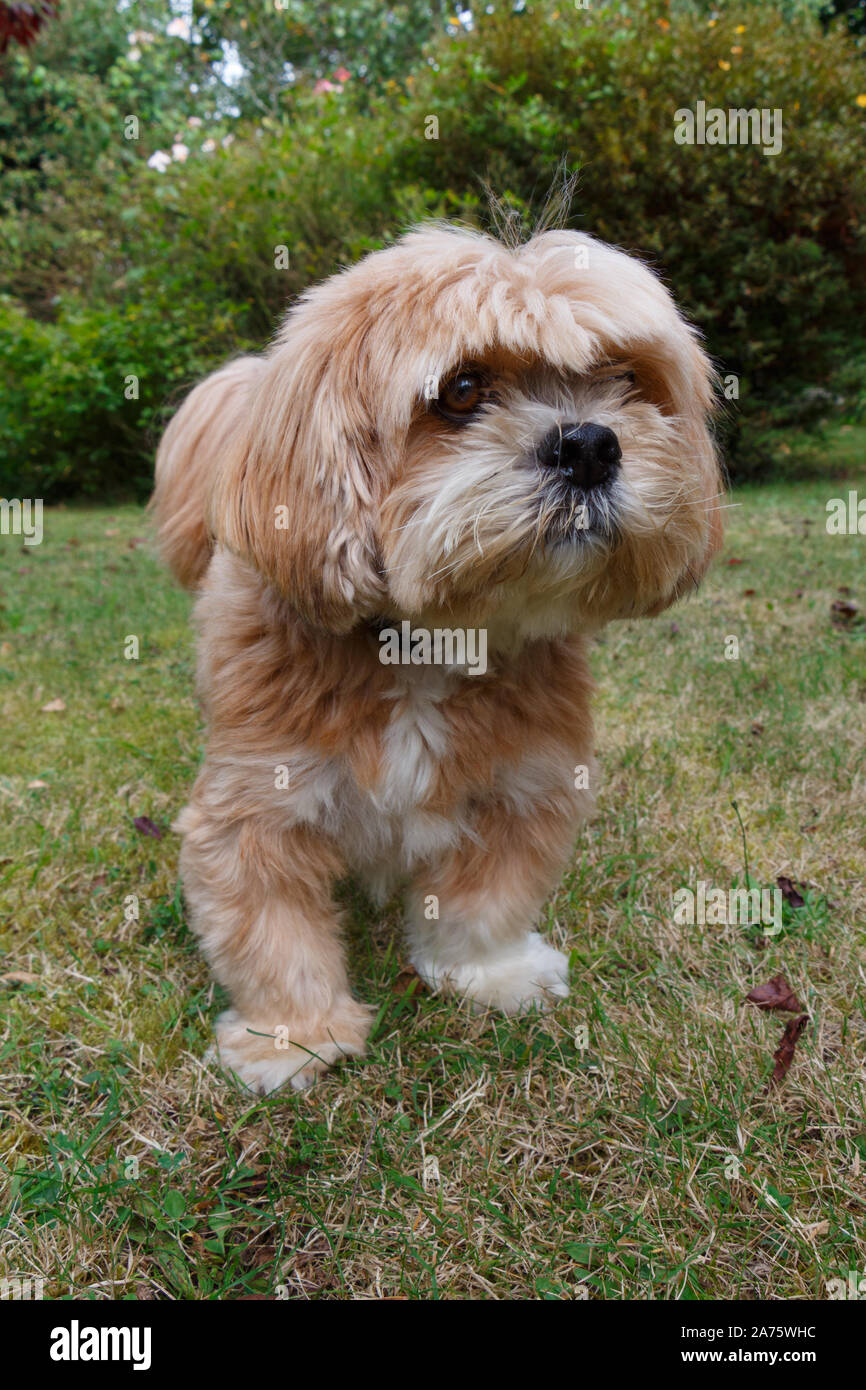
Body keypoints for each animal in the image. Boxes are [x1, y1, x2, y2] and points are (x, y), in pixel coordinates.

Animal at [150, 222, 722, 1095]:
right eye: (460, 390)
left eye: (624, 377)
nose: (590, 444)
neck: (430, 639)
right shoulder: (256, 806)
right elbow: (272, 931)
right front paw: (294, 1038)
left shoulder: (523, 786)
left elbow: (486, 900)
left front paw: (488, 975)